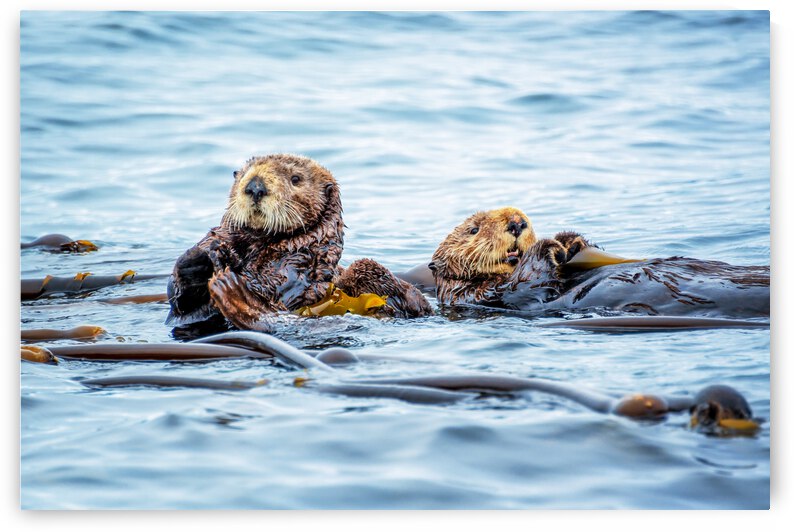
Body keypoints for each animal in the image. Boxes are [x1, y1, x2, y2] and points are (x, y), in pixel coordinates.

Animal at [429, 208, 769, 318]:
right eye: (474, 229)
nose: (516, 221)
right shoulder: (488, 296)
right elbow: (527, 285)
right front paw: (549, 244)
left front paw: (571, 241)